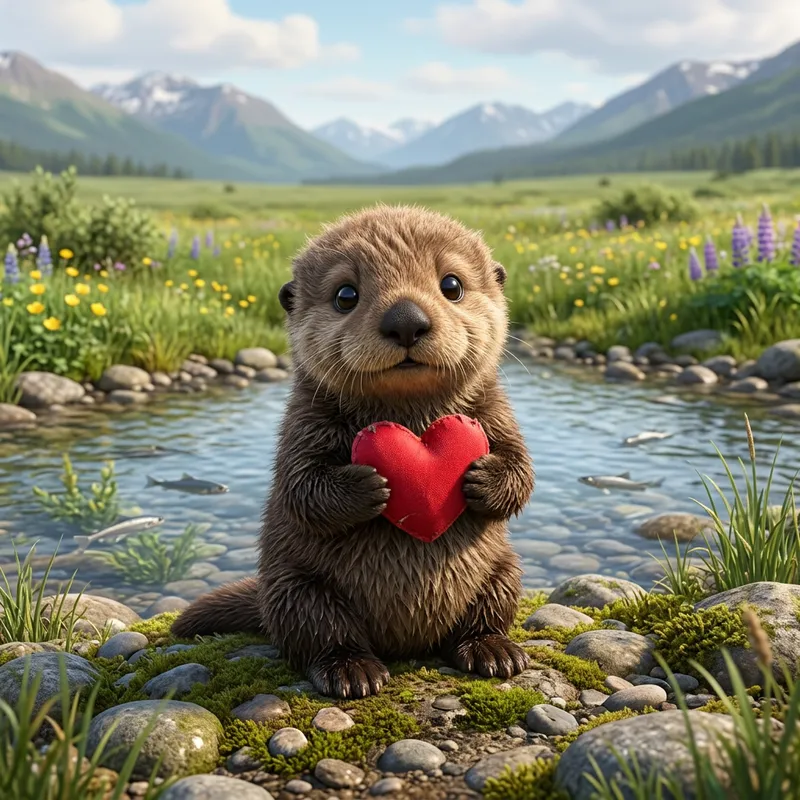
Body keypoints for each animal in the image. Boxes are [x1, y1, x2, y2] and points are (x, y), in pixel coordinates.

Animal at [171, 205, 535, 699]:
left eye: (452, 285)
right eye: (346, 294)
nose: (406, 319)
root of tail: (406, 647)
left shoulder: (497, 411)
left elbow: (522, 469)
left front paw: (481, 478)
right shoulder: (301, 423)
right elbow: (300, 487)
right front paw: (370, 483)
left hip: (502, 571)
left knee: (482, 619)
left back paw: (494, 652)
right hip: (298, 589)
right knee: (321, 638)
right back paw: (352, 671)